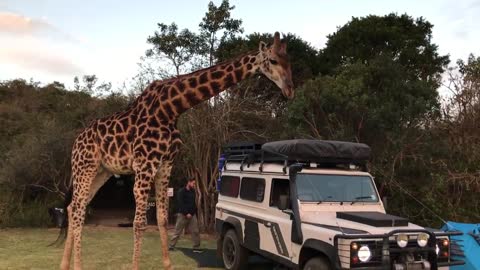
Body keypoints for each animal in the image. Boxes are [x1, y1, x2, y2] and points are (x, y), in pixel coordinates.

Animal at [59, 30, 292, 268]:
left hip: (102, 171)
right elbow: (139, 223)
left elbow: (162, 218)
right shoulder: (145, 165)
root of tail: (75, 143)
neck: (171, 109)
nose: (289, 90)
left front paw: (167, 264)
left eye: (288, 60)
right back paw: (77, 265)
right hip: (85, 168)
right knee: (78, 210)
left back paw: (64, 264)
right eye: (273, 60)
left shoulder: (165, 164)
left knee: (73, 207)